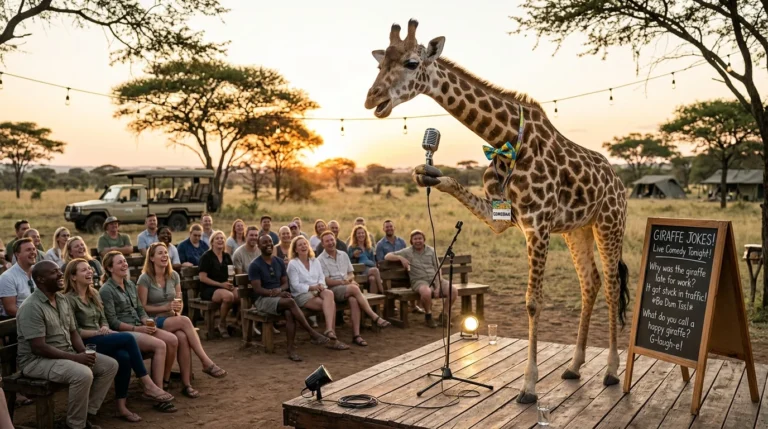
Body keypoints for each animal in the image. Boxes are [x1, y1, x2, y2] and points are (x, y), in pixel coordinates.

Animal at [364, 19, 630, 404]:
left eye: (412, 63)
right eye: (379, 64)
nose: (373, 99)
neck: (504, 139)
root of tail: (620, 183)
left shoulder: (537, 225)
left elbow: (533, 302)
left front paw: (529, 387)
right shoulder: (501, 219)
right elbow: (453, 185)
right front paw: (426, 173)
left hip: (609, 223)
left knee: (610, 284)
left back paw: (611, 371)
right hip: (576, 229)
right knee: (589, 283)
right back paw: (574, 367)